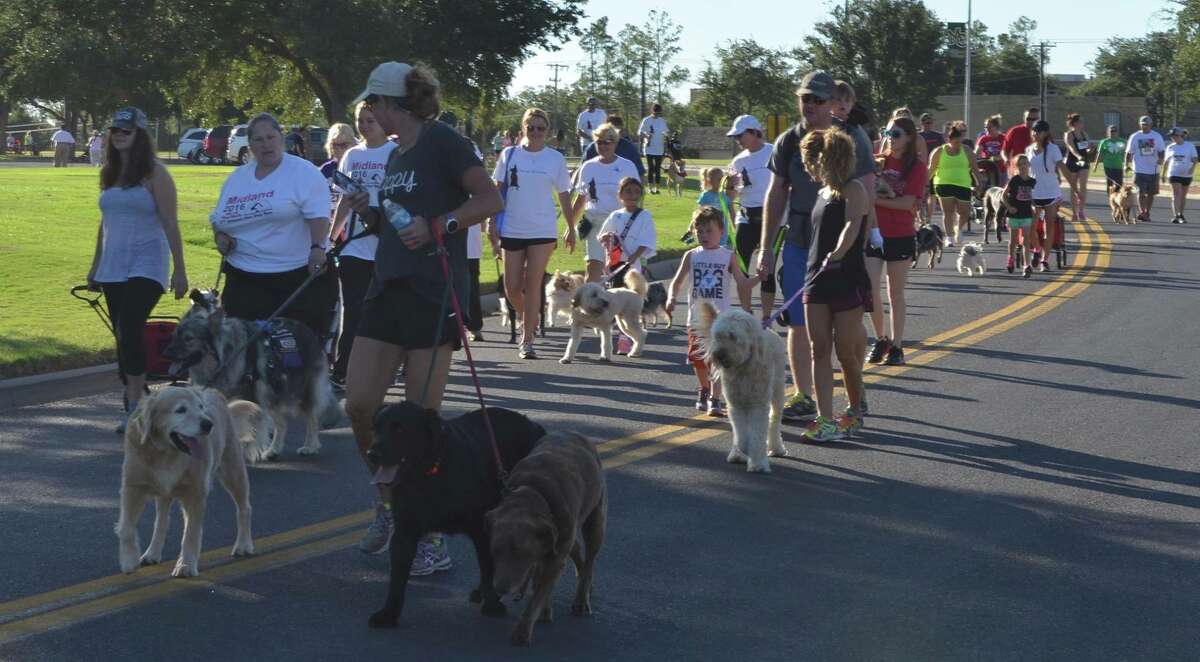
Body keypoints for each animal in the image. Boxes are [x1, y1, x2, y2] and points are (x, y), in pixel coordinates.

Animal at [117, 386, 260, 575]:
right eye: (181, 410)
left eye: (200, 407)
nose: (208, 424)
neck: (166, 454)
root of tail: (216, 393)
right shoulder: (132, 487)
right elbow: (126, 526)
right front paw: (128, 560)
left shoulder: (195, 493)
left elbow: (191, 533)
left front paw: (185, 565)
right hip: (164, 492)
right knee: (162, 521)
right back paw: (152, 553)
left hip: (233, 471)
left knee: (245, 508)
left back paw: (243, 545)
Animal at [159, 292, 338, 462]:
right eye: (174, 336)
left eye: (188, 339)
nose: (165, 354)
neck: (225, 357)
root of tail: (308, 330)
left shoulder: (250, 401)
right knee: (282, 423)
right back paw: (274, 450)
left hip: (301, 392)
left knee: (312, 418)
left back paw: (310, 446)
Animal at [696, 302, 787, 472]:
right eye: (717, 335)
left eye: (733, 336)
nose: (719, 355)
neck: (743, 368)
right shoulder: (736, 405)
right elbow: (741, 433)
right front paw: (740, 452)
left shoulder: (758, 405)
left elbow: (757, 434)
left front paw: (758, 464)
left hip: (778, 392)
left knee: (774, 420)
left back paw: (776, 448)